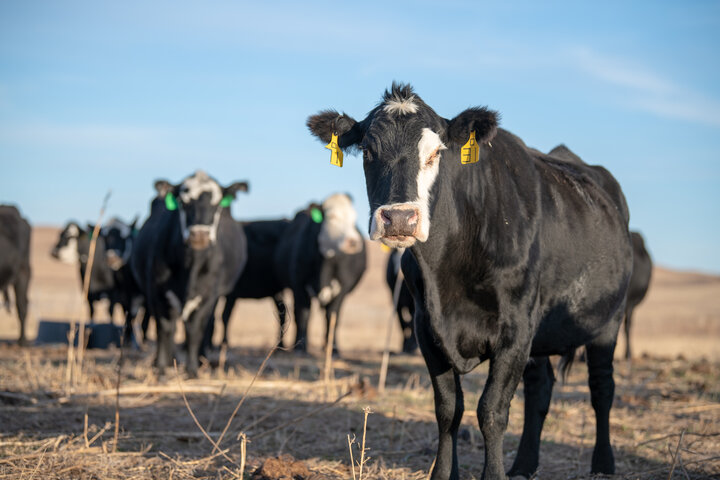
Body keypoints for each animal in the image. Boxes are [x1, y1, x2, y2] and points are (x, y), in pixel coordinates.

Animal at [131, 172, 249, 378]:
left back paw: (201, 359)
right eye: (183, 203)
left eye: (217, 205)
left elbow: (194, 329)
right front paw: (161, 368)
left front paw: (192, 370)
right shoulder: (156, 290)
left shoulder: (208, 295)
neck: (191, 266)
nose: (199, 235)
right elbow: (165, 328)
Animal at [272, 193, 368, 354]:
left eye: (353, 218)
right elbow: (303, 315)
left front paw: (334, 348)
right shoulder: (299, 286)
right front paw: (300, 346)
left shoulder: (343, 288)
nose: (354, 242)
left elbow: (333, 316)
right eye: (332, 216)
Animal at [306, 84, 632, 478]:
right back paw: (524, 464)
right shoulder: (427, 329)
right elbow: (449, 409)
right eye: (368, 151)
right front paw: (443, 473)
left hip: (608, 322)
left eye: (436, 153)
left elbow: (491, 411)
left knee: (602, 387)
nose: (398, 218)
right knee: (540, 389)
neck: (448, 273)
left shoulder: (515, 329)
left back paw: (603, 463)